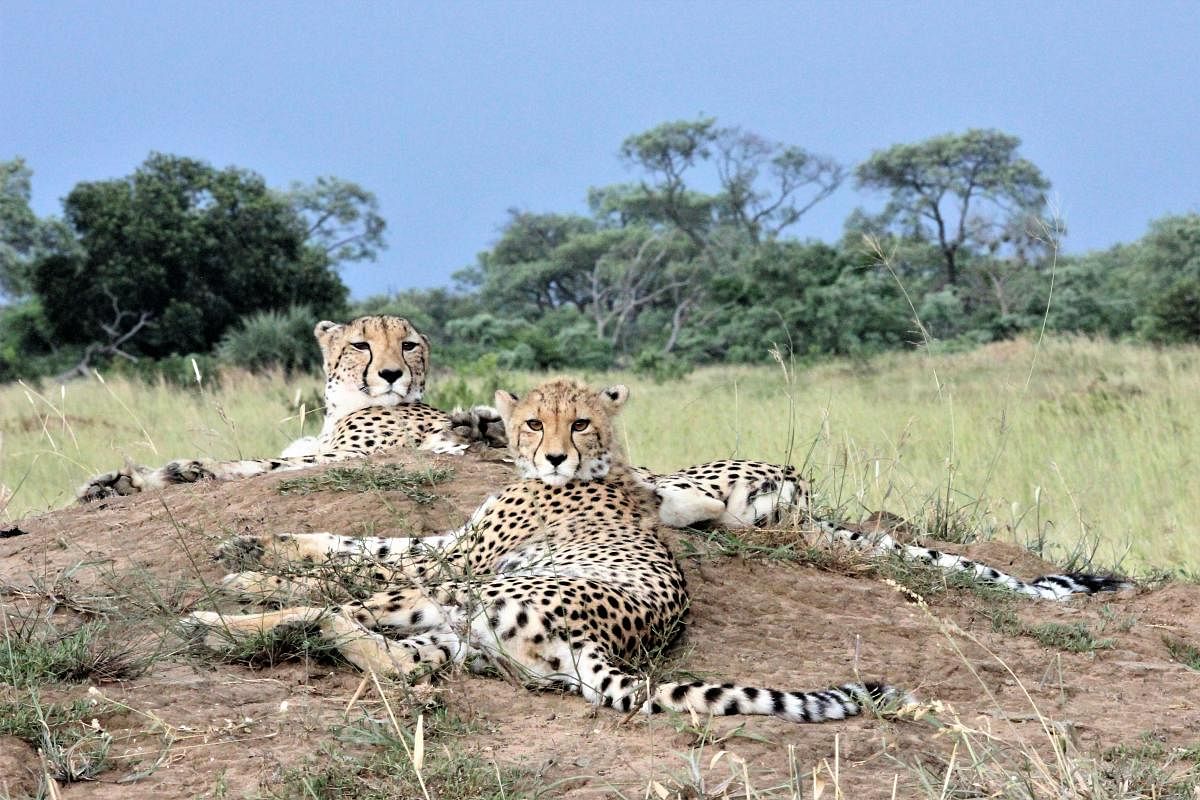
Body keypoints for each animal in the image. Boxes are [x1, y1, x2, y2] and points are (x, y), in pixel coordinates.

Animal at [75, 316, 506, 503]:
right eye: (360, 345)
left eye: (409, 346)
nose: (390, 374)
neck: (341, 408)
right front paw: (112, 484)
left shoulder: (353, 455)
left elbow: (261, 463)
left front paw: (185, 470)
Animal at [184, 381, 907, 724]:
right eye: (533, 421)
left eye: (579, 422)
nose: (555, 454)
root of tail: (607, 646)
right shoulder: (453, 545)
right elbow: (357, 541)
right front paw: (257, 540)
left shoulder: (458, 559)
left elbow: (360, 559)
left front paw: (255, 566)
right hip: (461, 637)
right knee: (392, 658)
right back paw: (243, 625)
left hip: (471, 593)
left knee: (346, 612)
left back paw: (223, 618)